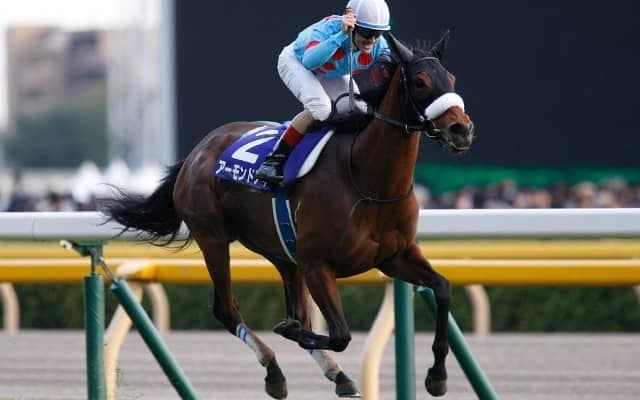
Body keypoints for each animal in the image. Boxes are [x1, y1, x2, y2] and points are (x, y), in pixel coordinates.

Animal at [102, 32, 474, 399]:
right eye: (421, 81)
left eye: (452, 78)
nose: (461, 129)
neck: (366, 179)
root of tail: (197, 151)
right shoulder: (318, 263)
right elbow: (339, 334)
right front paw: (289, 332)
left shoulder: (394, 256)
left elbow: (442, 288)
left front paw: (437, 375)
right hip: (214, 239)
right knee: (227, 310)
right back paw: (275, 371)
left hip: (282, 252)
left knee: (293, 309)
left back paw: (337, 374)